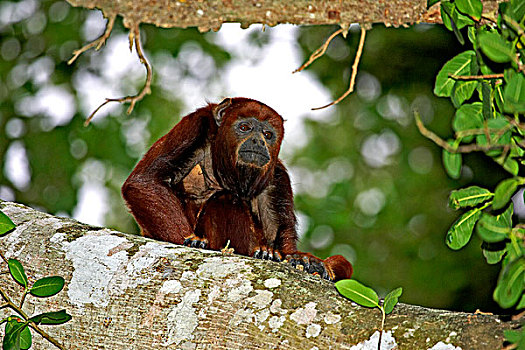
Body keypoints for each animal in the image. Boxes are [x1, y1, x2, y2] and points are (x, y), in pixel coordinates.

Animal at [122, 97, 352, 280]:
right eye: (245, 127)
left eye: (268, 134)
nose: (258, 142)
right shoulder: (195, 124)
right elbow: (145, 182)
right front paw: (191, 242)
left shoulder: (276, 177)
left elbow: (278, 234)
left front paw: (299, 258)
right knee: (226, 198)